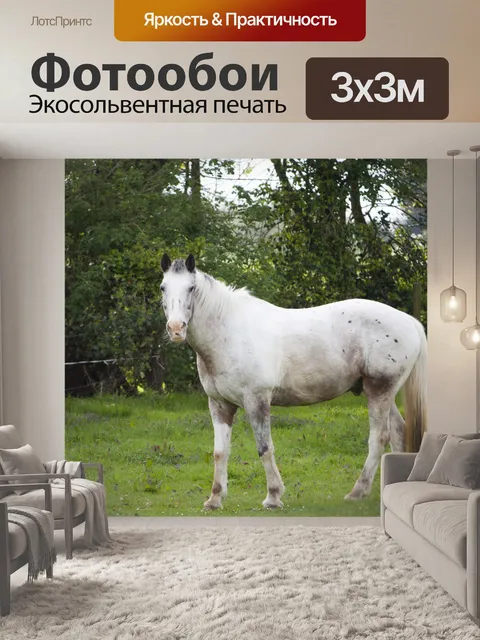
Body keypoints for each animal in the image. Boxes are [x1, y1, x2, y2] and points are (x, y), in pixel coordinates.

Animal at [160, 253, 427, 510]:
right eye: (163, 287)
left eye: (191, 287)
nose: (176, 328)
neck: (229, 332)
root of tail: (410, 321)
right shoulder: (219, 405)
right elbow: (220, 452)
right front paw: (214, 499)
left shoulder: (256, 401)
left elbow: (264, 448)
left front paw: (273, 496)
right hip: (380, 393)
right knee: (398, 433)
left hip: (380, 390)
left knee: (379, 437)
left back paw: (357, 492)